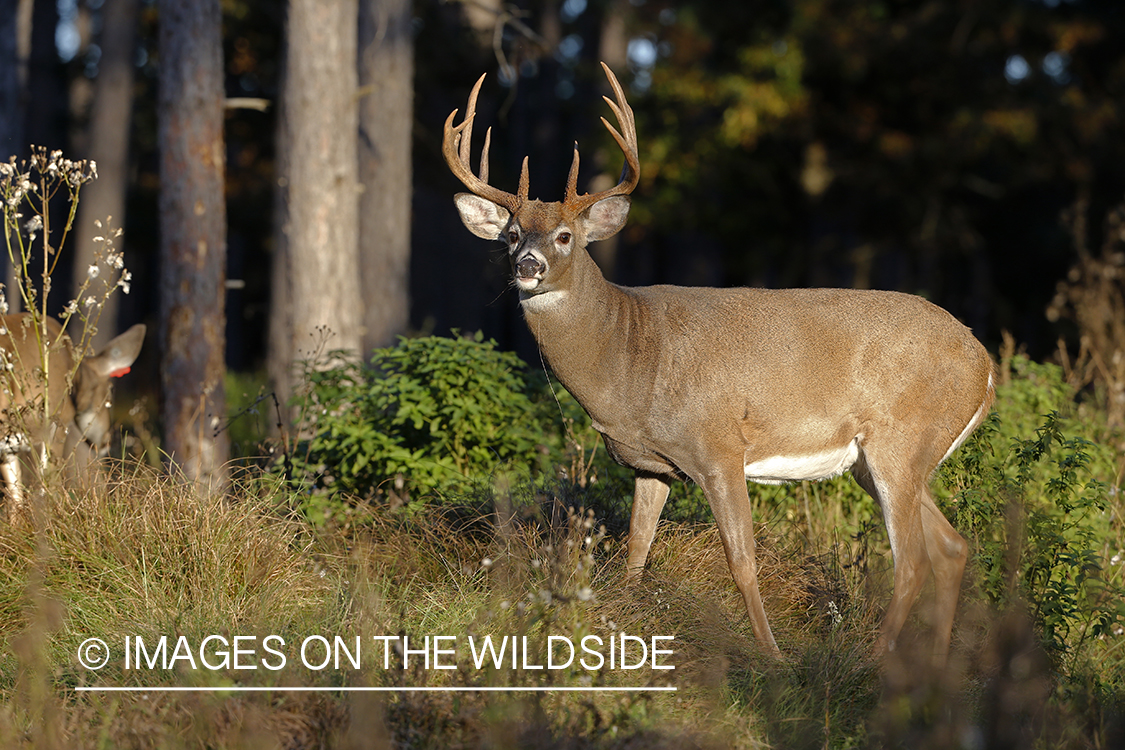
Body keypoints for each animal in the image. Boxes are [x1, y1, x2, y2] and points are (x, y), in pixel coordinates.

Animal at [443, 61, 999, 665]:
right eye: (511, 234)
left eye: (566, 235)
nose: (527, 265)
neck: (631, 357)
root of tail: (985, 364)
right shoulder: (649, 463)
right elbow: (636, 550)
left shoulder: (719, 447)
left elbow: (742, 563)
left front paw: (772, 657)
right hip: (880, 461)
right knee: (952, 547)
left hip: (902, 439)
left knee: (913, 560)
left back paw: (872, 663)